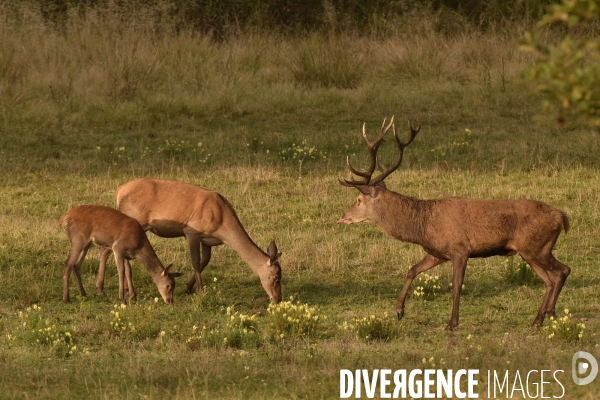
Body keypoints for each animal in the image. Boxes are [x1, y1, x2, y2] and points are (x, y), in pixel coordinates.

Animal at [97, 178, 284, 304]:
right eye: (275, 277)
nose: (277, 299)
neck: (222, 225)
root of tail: (119, 191)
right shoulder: (191, 232)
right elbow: (195, 261)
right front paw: (199, 291)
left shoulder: (208, 240)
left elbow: (205, 260)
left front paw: (188, 287)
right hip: (135, 221)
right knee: (108, 249)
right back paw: (109, 290)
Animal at [340, 117, 568, 330]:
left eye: (359, 200)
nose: (343, 215)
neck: (423, 226)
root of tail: (563, 217)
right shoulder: (438, 252)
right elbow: (412, 270)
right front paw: (399, 311)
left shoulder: (460, 249)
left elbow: (456, 285)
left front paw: (452, 323)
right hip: (530, 252)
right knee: (550, 279)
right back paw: (541, 318)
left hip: (536, 248)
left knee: (562, 271)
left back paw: (547, 314)